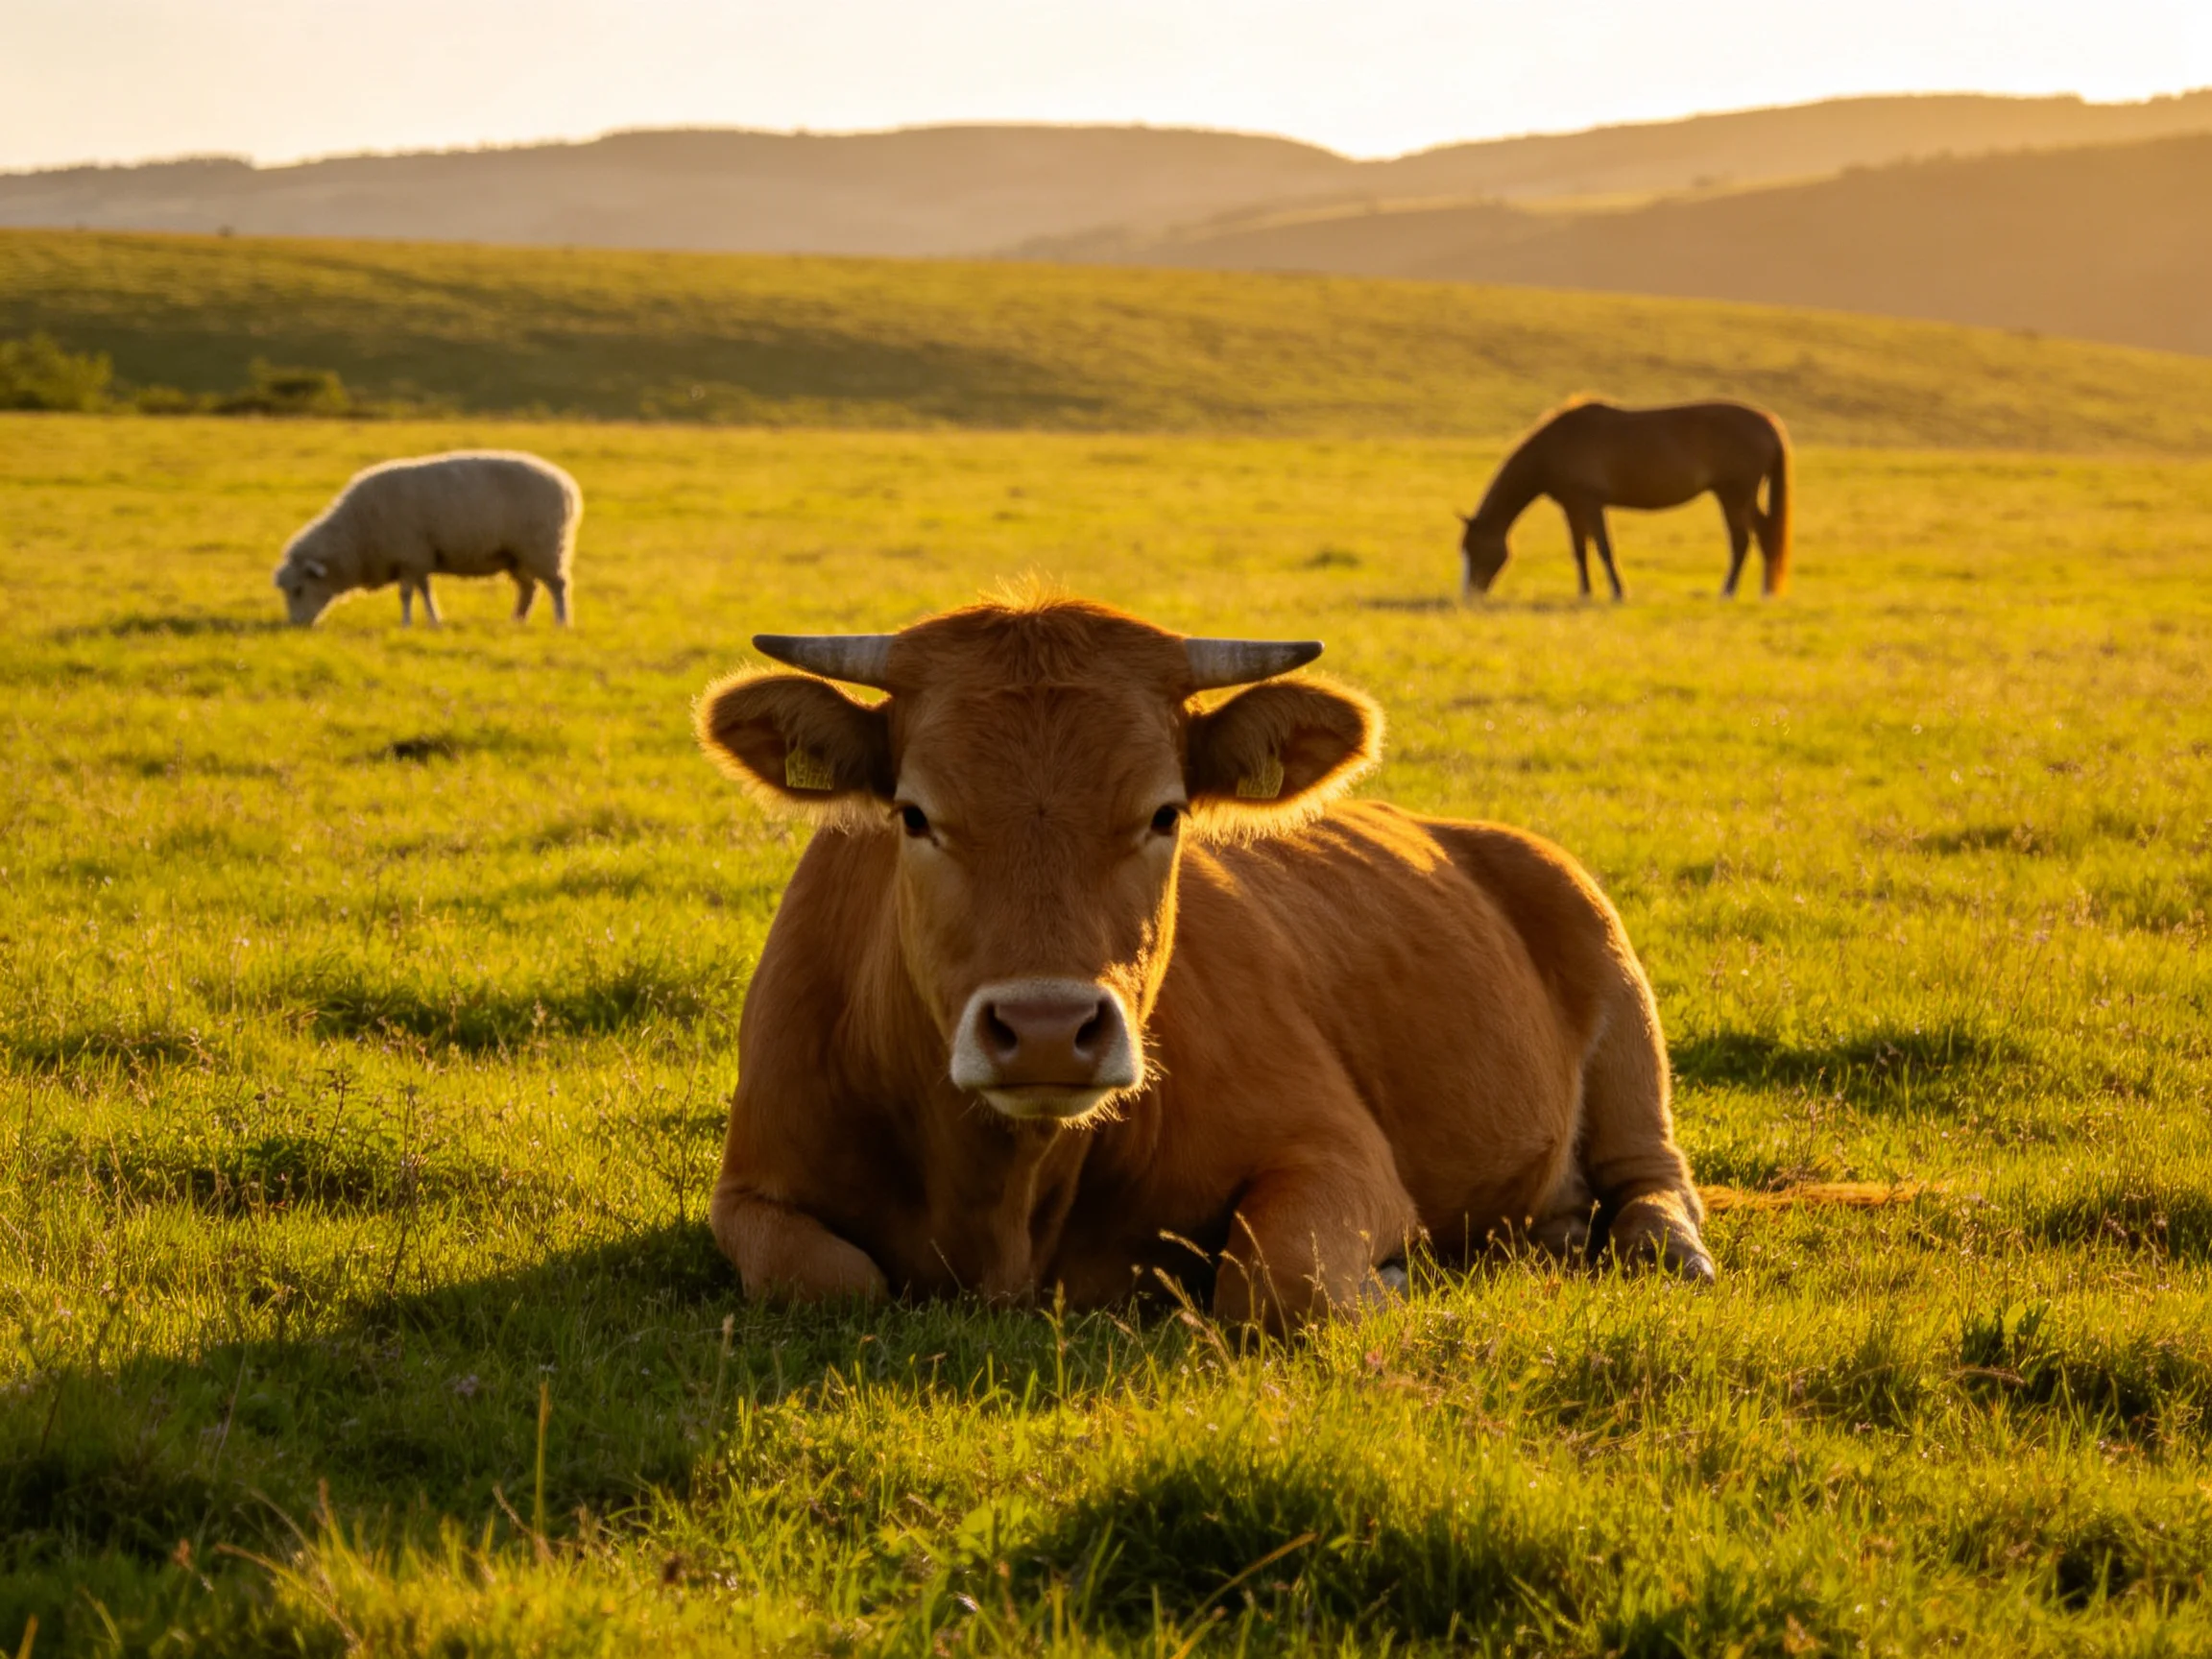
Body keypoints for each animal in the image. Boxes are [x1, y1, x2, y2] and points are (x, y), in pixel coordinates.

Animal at [272, 450, 581, 627]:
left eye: (298, 589)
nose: (295, 625)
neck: (357, 533)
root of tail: (567, 485)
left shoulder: (410, 555)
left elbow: (407, 594)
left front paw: (407, 623)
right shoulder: (419, 558)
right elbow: (424, 591)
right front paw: (433, 620)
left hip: (544, 547)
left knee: (558, 585)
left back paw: (561, 622)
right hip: (514, 555)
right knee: (529, 588)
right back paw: (517, 621)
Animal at [694, 595, 1711, 1329]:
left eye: (1165, 812)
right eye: (914, 814)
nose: (1048, 1032)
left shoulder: (1339, 1151)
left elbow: (1275, 1279)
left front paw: (1390, 1281)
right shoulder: (749, 1186)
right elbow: (827, 1277)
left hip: (1619, 999)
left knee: (1651, 1178)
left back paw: (1667, 1248)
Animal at [1459, 399, 1792, 601]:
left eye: (1474, 550)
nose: (1470, 596)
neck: (1557, 445)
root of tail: (1767, 423)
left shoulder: (1590, 503)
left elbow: (1604, 549)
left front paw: (1618, 593)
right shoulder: (1572, 506)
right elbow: (1580, 551)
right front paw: (1585, 593)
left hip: (1734, 496)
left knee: (1743, 541)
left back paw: (1729, 592)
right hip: (1741, 498)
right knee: (1763, 536)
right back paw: (1764, 592)